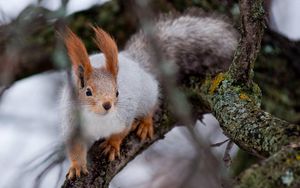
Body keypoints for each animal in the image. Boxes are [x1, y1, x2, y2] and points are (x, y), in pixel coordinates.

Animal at [61, 8, 239, 179]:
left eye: (117, 92)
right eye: (88, 92)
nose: (107, 105)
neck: (97, 117)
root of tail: (133, 60)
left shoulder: (124, 115)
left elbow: (121, 132)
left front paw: (112, 145)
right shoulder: (72, 124)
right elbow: (75, 148)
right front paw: (77, 166)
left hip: (148, 93)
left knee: (151, 105)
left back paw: (144, 123)